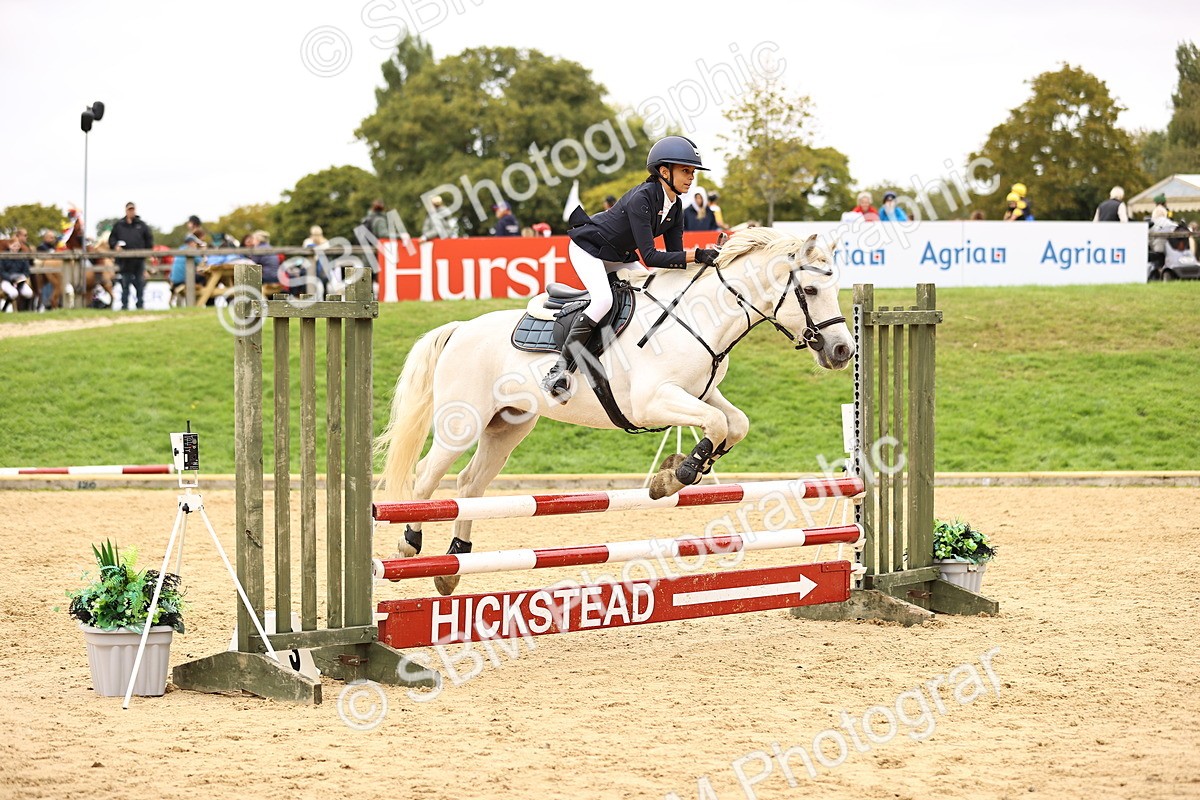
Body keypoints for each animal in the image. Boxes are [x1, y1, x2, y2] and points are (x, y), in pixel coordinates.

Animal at [376, 227, 855, 595]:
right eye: (810, 290)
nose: (842, 351)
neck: (701, 318)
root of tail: (459, 330)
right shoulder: (651, 400)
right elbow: (718, 423)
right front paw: (677, 475)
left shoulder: (701, 393)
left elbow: (733, 423)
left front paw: (684, 466)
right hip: (462, 423)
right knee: (425, 479)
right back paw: (409, 545)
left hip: (507, 426)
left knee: (469, 484)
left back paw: (453, 564)